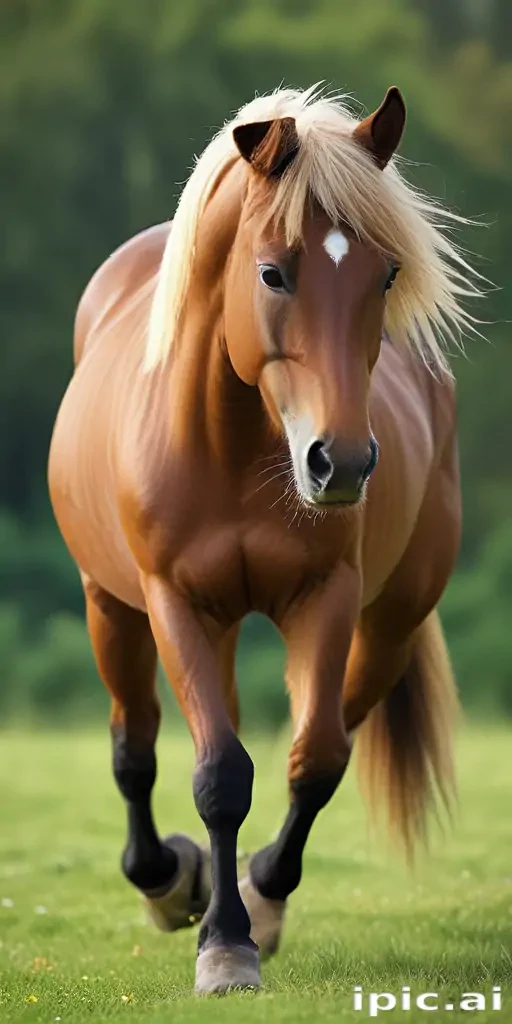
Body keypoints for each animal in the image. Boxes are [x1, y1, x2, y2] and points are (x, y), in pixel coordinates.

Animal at [48, 84, 481, 994]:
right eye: (273, 272)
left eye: (386, 273)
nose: (340, 462)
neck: (235, 446)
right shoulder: (172, 602)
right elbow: (215, 772)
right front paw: (221, 943)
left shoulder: (329, 600)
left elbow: (312, 761)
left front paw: (253, 909)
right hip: (115, 606)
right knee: (136, 744)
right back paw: (167, 882)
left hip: (386, 626)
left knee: (322, 734)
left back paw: (243, 890)